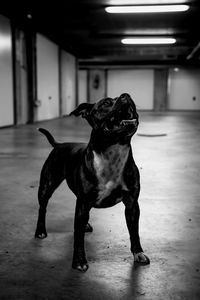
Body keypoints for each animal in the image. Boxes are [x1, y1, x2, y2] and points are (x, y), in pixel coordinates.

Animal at [34, 92, 150, 270]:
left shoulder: (132, 204)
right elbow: (78, 237)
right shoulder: (83, 203)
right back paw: (40, 231)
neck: (113, 152)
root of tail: (59, 144)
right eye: (106, 103)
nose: (126, 95)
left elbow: (134, 232)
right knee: (43, 207)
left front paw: (138, 253)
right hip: (47, 186)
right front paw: (79, 261)